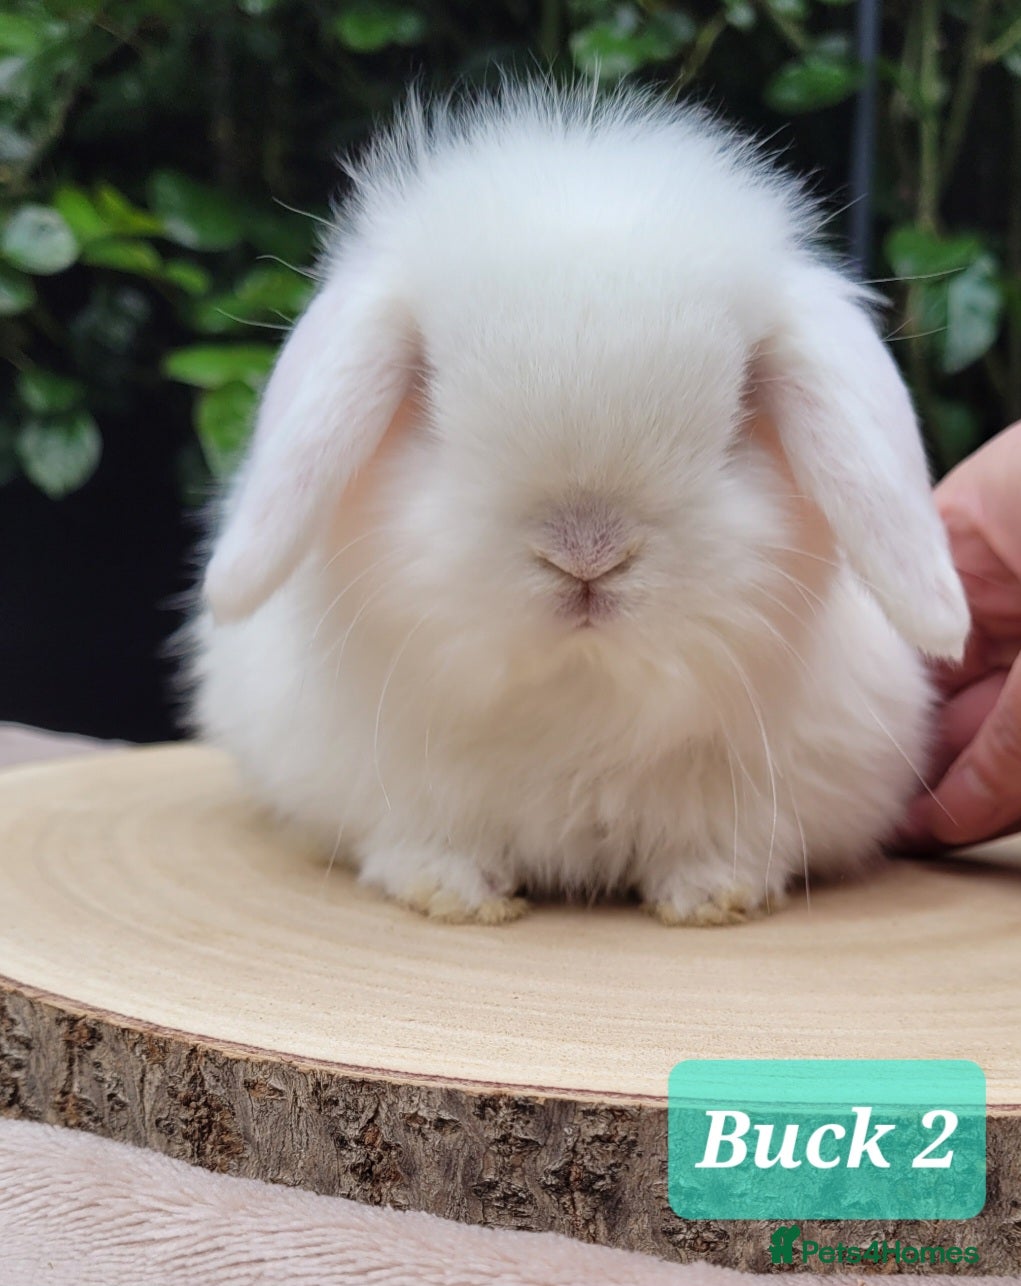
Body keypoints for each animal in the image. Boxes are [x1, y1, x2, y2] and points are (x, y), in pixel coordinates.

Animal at [188, 80, 970, 927]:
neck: (580, 694)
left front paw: (710, 895)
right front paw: (451, 893)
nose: (586, 553)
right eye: (429, 398)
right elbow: (423, 840)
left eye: (739, 411)